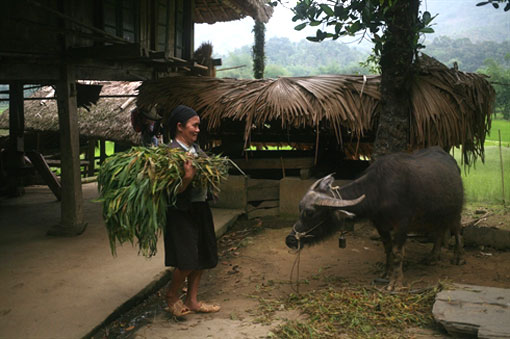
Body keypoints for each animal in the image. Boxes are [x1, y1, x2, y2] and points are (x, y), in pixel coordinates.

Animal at [286, 147, 466, 290]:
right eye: (300, 208)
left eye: (310, 212)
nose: (290, 240)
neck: (380, 191)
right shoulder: (380, 224)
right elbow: (387, 248)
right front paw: (386, 273)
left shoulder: (402, 224)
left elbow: (398, 252)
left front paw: (396, 282)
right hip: (437, 214)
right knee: (439, 231)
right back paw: (433, 257)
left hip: (456, 210)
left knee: (457, 229)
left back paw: (458, 257)